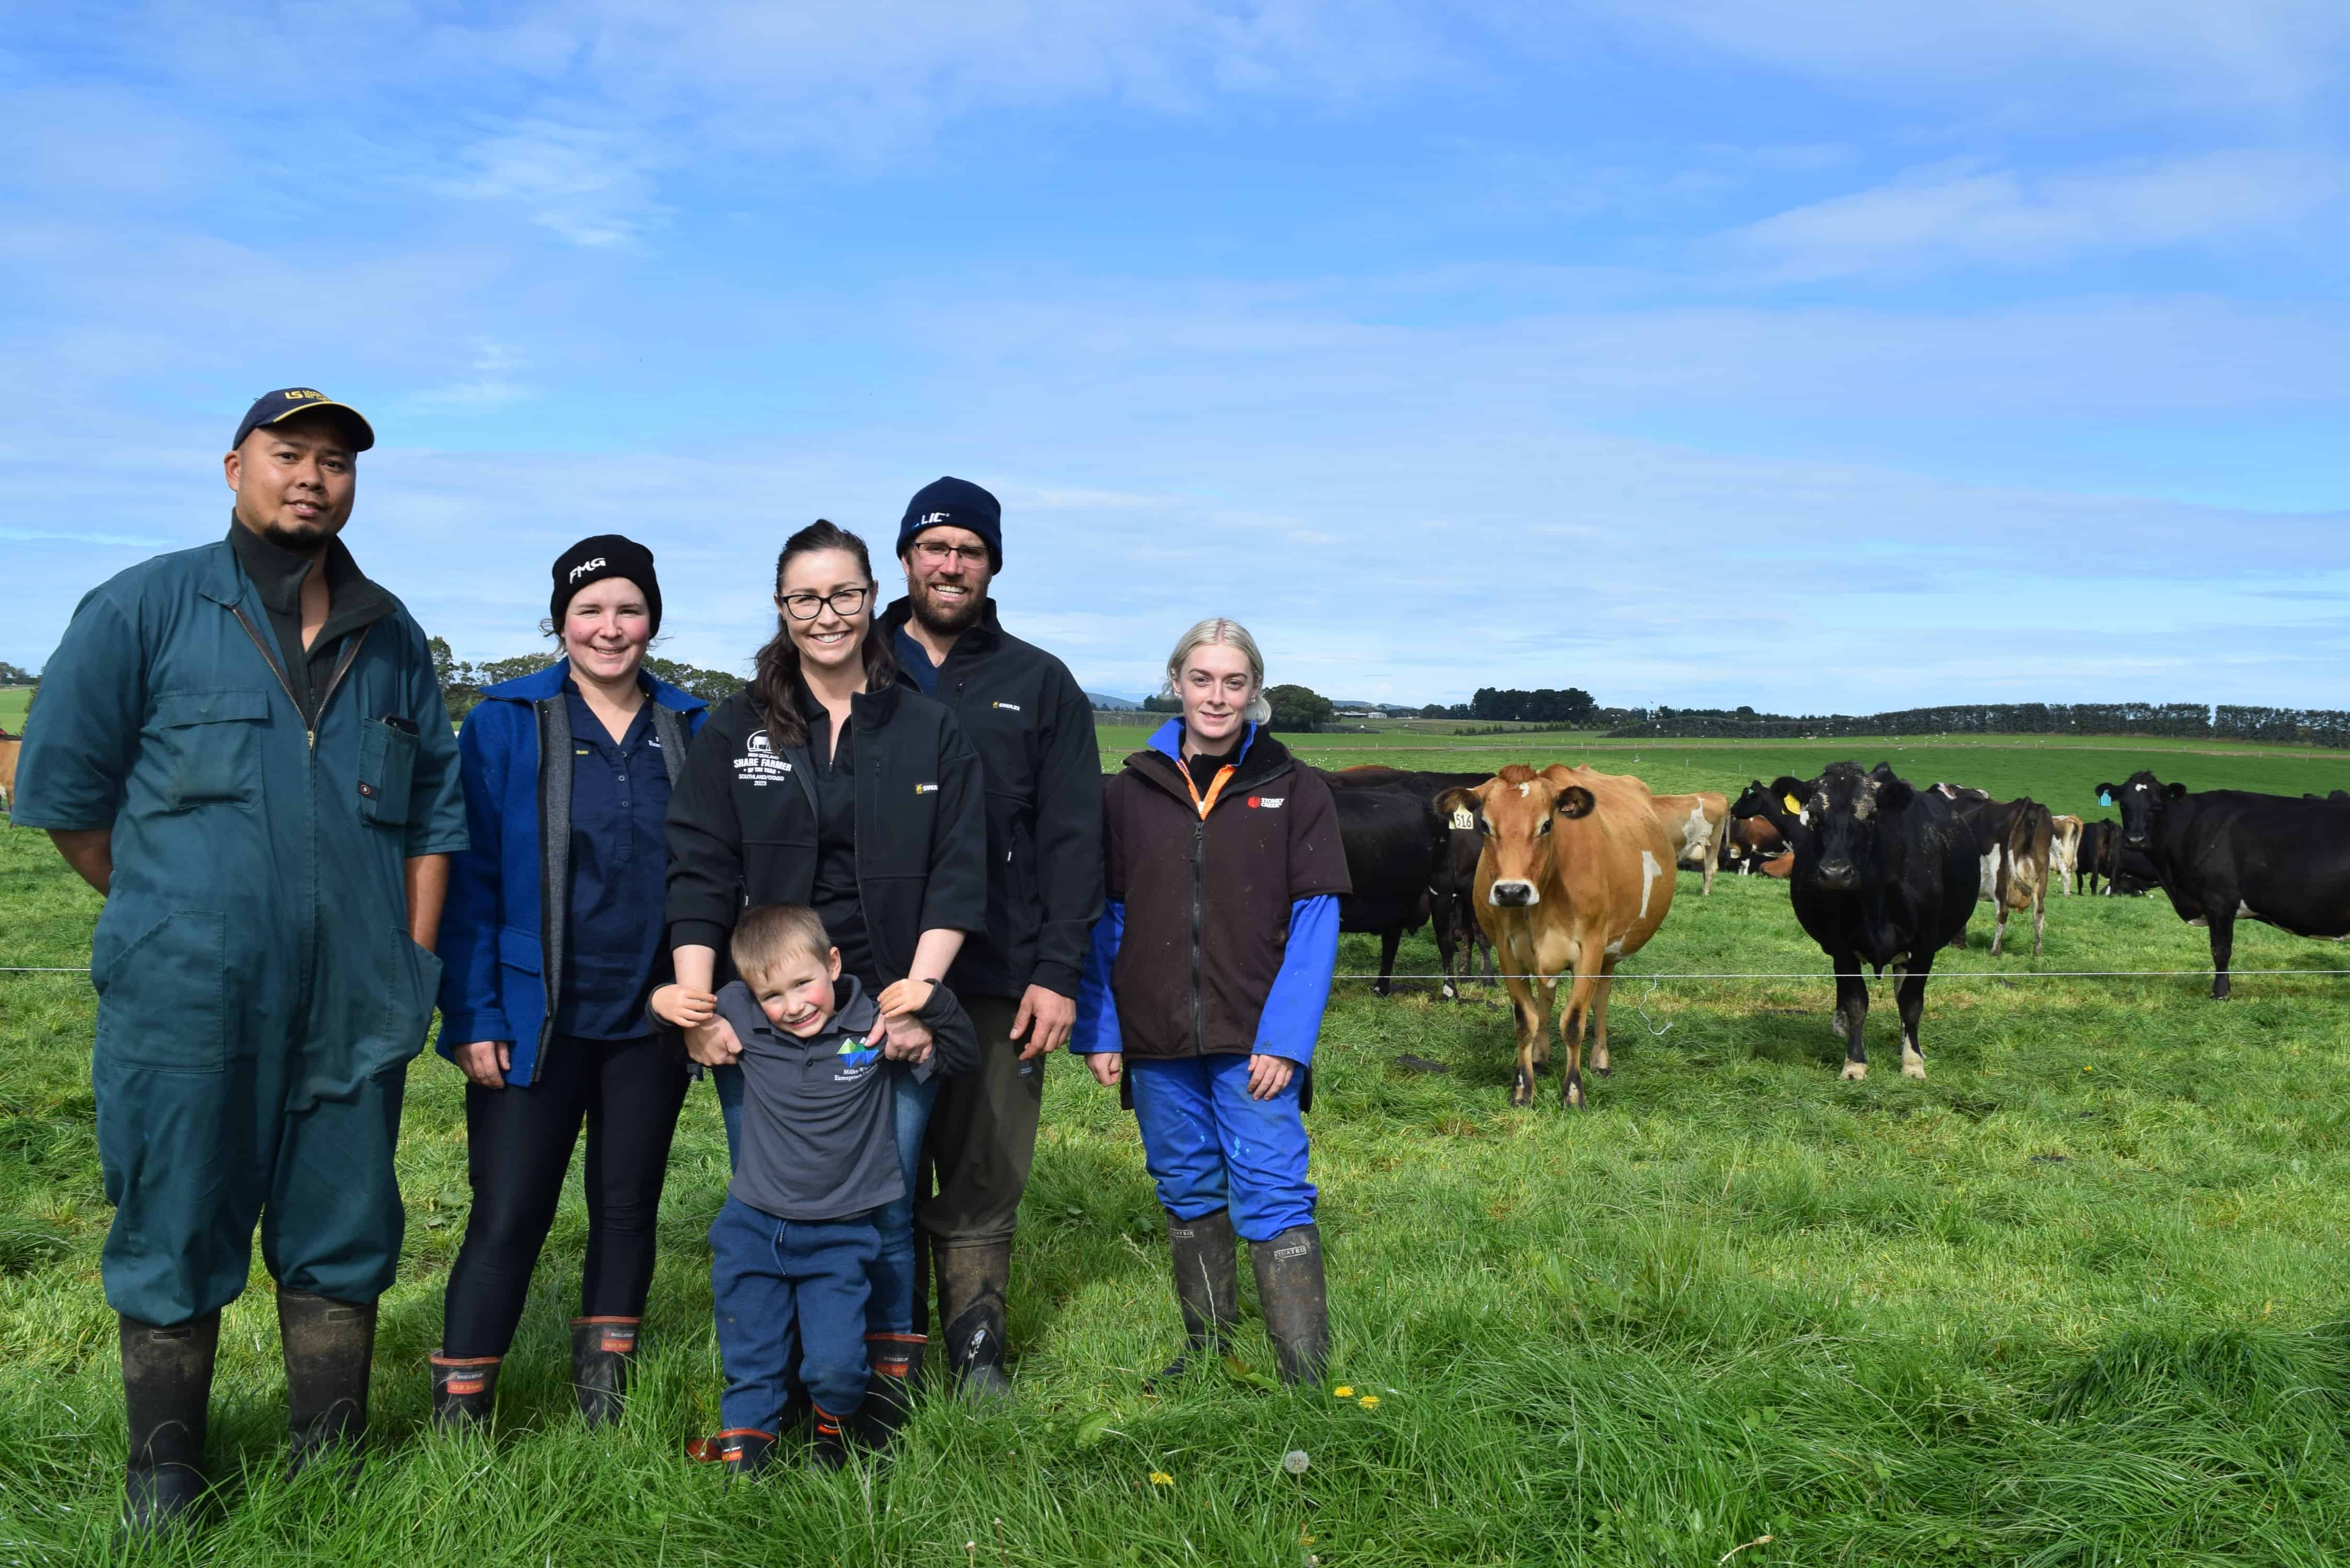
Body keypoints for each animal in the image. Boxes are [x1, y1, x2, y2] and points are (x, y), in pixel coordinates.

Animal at [1457, 766, 1683, 1109]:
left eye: (1547, 825)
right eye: (1484, 825)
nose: (1512, 891)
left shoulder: (1591, 949)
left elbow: (1574, 1022)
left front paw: (1574, 1092)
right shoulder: (1508, 953)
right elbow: (1525, 1020)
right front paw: (1523, 1088)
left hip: (1609, 953)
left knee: (1600, 999)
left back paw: (1600, 1060)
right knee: (1546, 997)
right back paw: (1540, 1055)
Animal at [1767, 762, 1974, 1081]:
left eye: (1871, 816)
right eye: (1813, 816)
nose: (1835, 874)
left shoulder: (1924, 946)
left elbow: (1912, 1004)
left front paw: (1913, 1062)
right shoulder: (1841, 946)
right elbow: (1856, 1003)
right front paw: (1854, 1063)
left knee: (1901, 992)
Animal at [2096, 766, 2350, 1001]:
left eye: (2157, 806)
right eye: (2124, 805)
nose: (2135, 840)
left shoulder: (2219, 900)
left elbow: (2221, 949)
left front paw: (2220, 994)